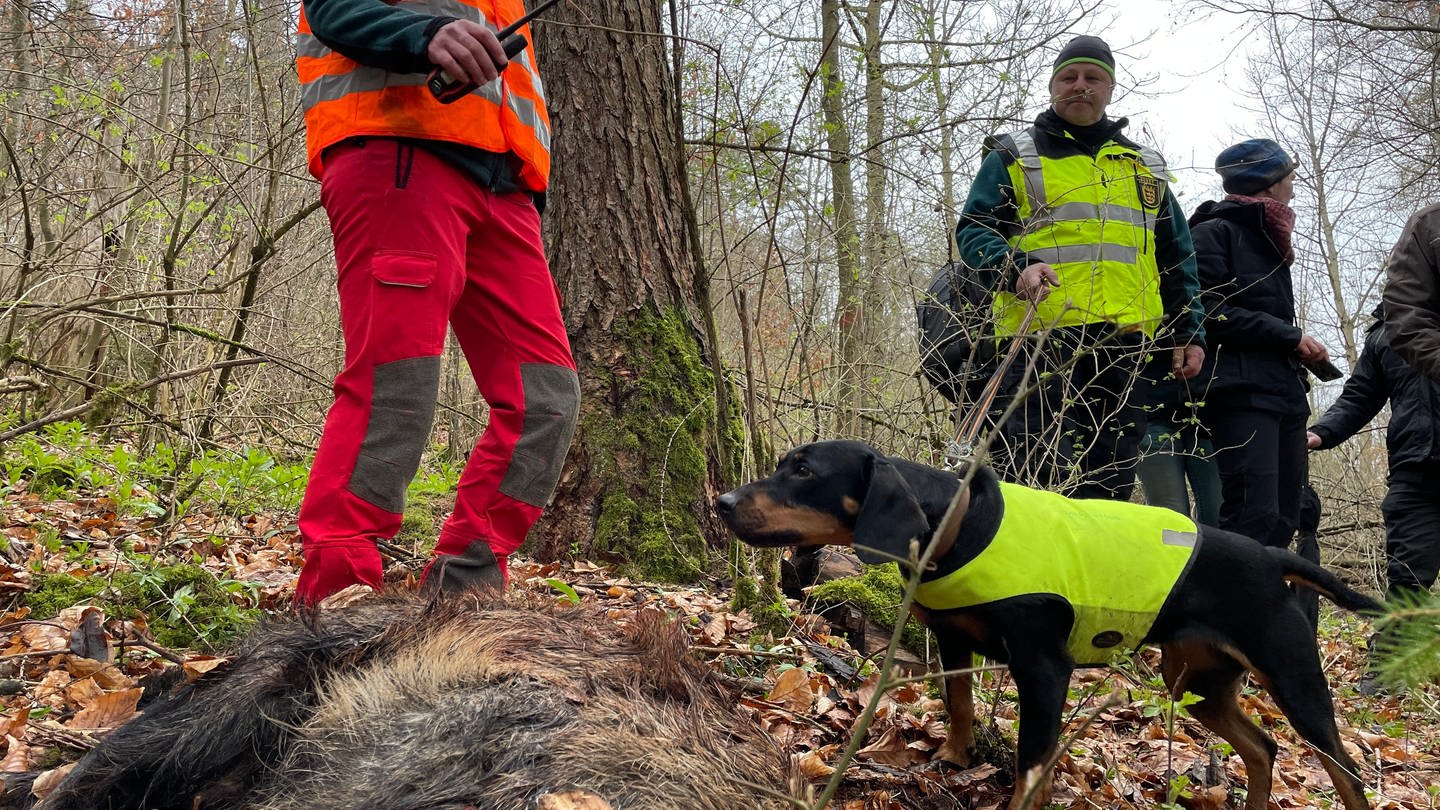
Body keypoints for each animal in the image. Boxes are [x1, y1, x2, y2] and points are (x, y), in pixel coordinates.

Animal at [720, 438, 1382, 807]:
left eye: (805, 471)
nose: (722, 501)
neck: (962, 523)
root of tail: (1271, 556)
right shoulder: (953, 638)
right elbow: (959, 705)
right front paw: (954, 760)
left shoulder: (1043, 669)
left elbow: (1031, 762)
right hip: (1196, 683)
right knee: (1264, 748)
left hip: (1293, 679)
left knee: (1347, 775)